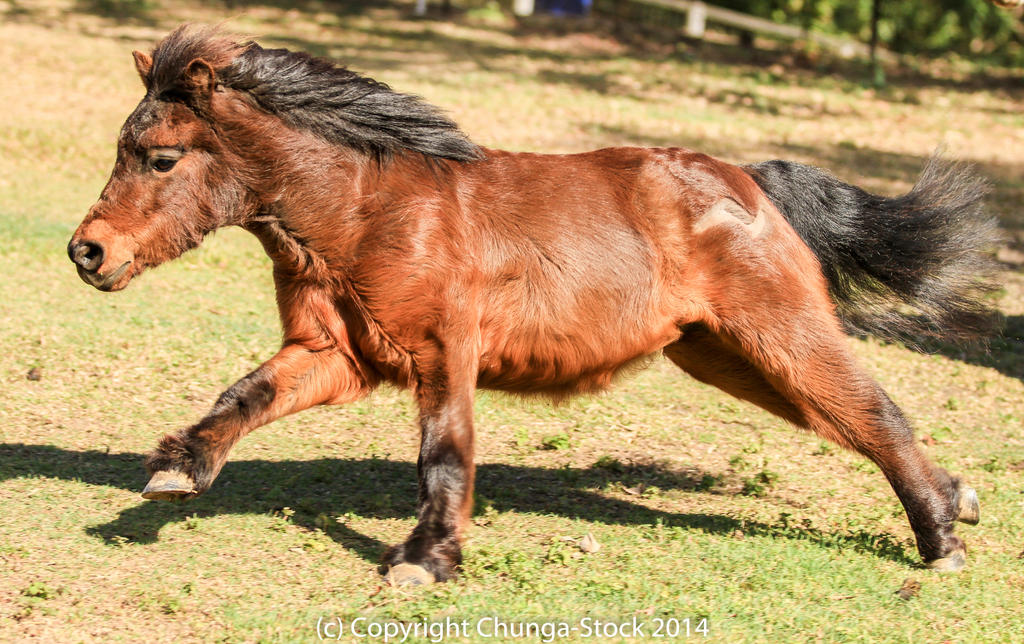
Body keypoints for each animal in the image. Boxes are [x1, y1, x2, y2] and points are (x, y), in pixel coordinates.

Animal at [70, 25, 999, 581]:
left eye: (160, 158)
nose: (88, 253)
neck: (368, 209)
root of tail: (749, 180)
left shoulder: (444, 352)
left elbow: (443, 454)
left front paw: (425, 559)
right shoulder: (336, 355)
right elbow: (244, 395)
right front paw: (176, 471)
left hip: (781, 333)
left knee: (874, 413)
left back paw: (942, 544)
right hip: (729, 358)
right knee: (847, 420)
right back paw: (956, 501)